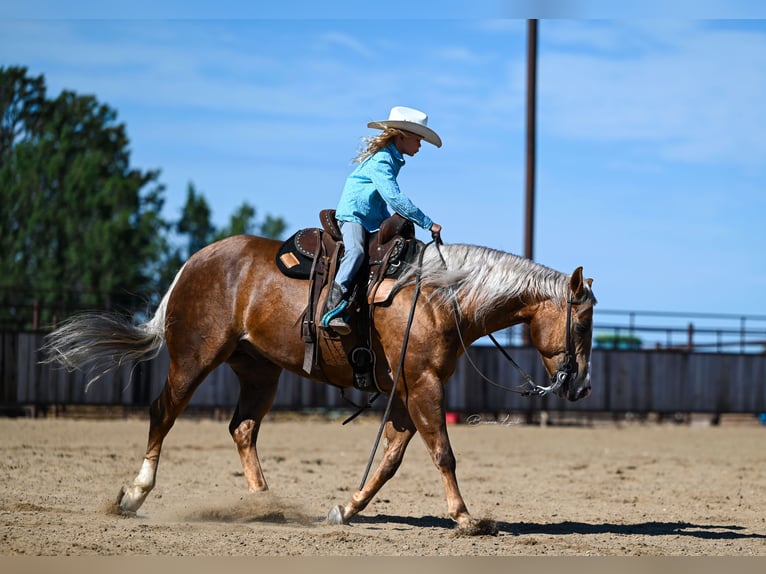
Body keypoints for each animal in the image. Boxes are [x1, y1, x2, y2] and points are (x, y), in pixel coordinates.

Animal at [43, 233, 600, 536]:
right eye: (582, 323)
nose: (580, 388)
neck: (440, 297)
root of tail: (194, 263)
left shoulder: (408, 389)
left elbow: (391, 458)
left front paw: (345, 508)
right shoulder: (421, 384)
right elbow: (442, 452)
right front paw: (466, 518)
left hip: (258, 369)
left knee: (243, 429)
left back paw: (265, 506)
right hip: (194, 357)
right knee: (163, 412)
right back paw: (134, 495)